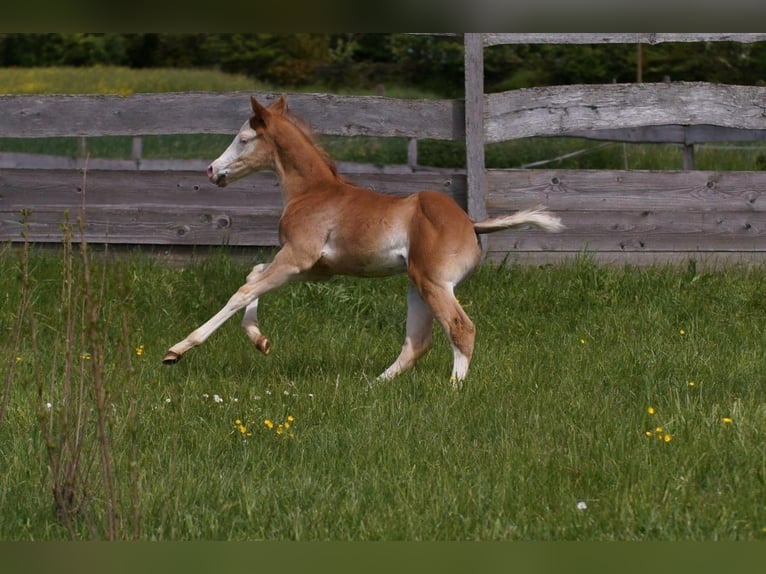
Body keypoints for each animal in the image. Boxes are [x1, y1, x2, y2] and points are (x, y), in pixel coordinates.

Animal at [165, 97, 564, 390]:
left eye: (244, 138)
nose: (212, 171)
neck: (313, 192)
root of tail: (470, 222)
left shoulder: (297, 257)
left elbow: (241, 291)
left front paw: (177, 350)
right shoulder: (314, 270)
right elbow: (253, 275)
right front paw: (260, 341)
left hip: (435, 283)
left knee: (460, 329)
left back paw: (452, 389)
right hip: (417, 285)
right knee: (417, 341)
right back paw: (373, 385)